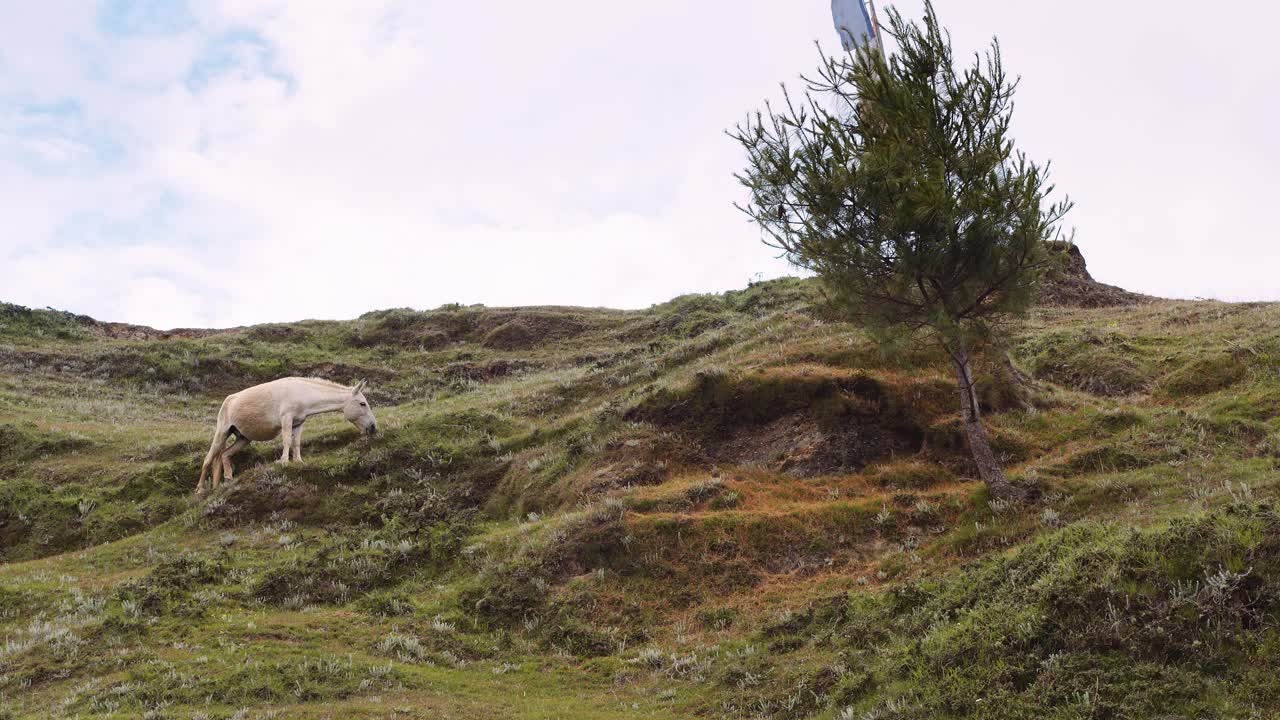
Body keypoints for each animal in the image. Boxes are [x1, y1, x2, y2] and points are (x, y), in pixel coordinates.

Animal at [193, 376, 373, 491]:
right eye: (362, 403)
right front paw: (284, 461)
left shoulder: (298, 423)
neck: (302, 392)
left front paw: (299, 461)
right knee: (209, 459)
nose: (372, 427)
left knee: (224, 455)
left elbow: (296, 443)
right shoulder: (286, 418)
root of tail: (228, 400)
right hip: (222, 432)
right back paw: (200, 489)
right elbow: (286, 440)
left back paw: (226, 480)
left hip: (243, 439)